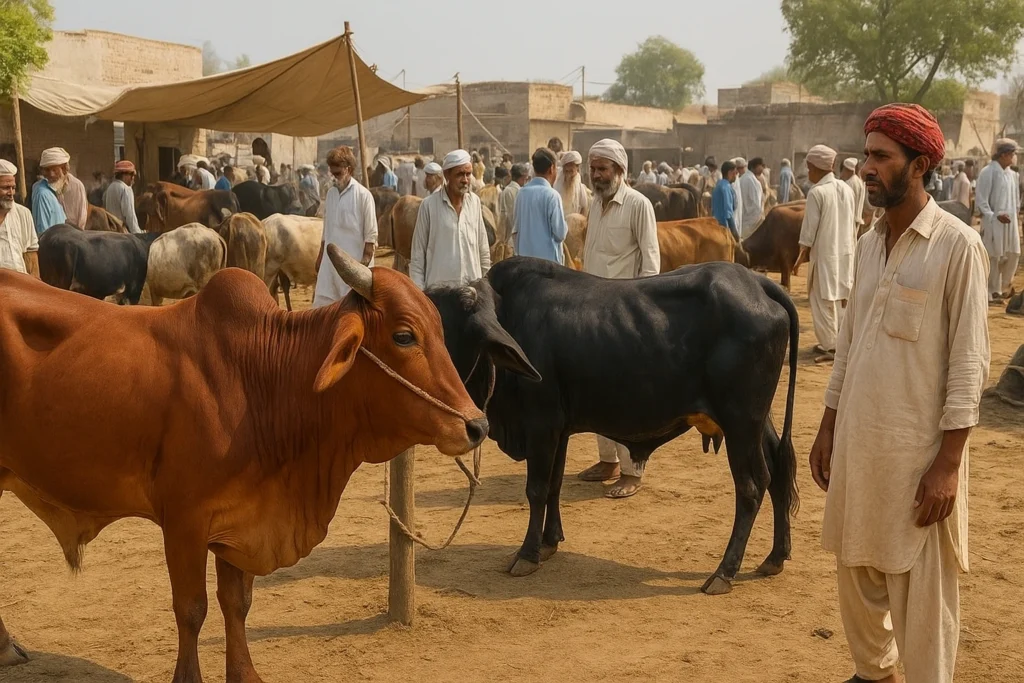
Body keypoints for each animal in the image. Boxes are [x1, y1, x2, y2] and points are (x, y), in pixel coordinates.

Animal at [0, 248, 487, 680]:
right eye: (405, 335)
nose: (476, 425)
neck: (262, 381)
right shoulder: (184, 521)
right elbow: (191, 610)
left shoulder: (241, 519)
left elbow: (237, 604)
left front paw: (244, 674)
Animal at [426, 257, 798, 595]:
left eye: (438, 329)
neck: (511, 318)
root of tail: (756, 282)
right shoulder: (558, 430)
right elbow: (554, 486)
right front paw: (549, 542)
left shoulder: (541, 425)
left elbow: (536, 490)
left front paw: (527, 554)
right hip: (756, 423)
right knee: (779, 471)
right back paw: (775, 558)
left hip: (740, 423)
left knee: (752, 487)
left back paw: (724, 572)